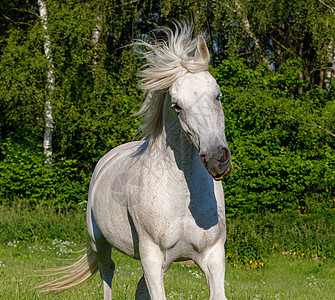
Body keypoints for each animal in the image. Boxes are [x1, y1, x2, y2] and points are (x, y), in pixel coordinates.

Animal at [36, 22, 231, 300]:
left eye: (217, 95)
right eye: (177, 106)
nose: (217, 159)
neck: (183, 196)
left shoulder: (212, 257)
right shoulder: (152, 257)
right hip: (100, 243)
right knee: (107, 272)